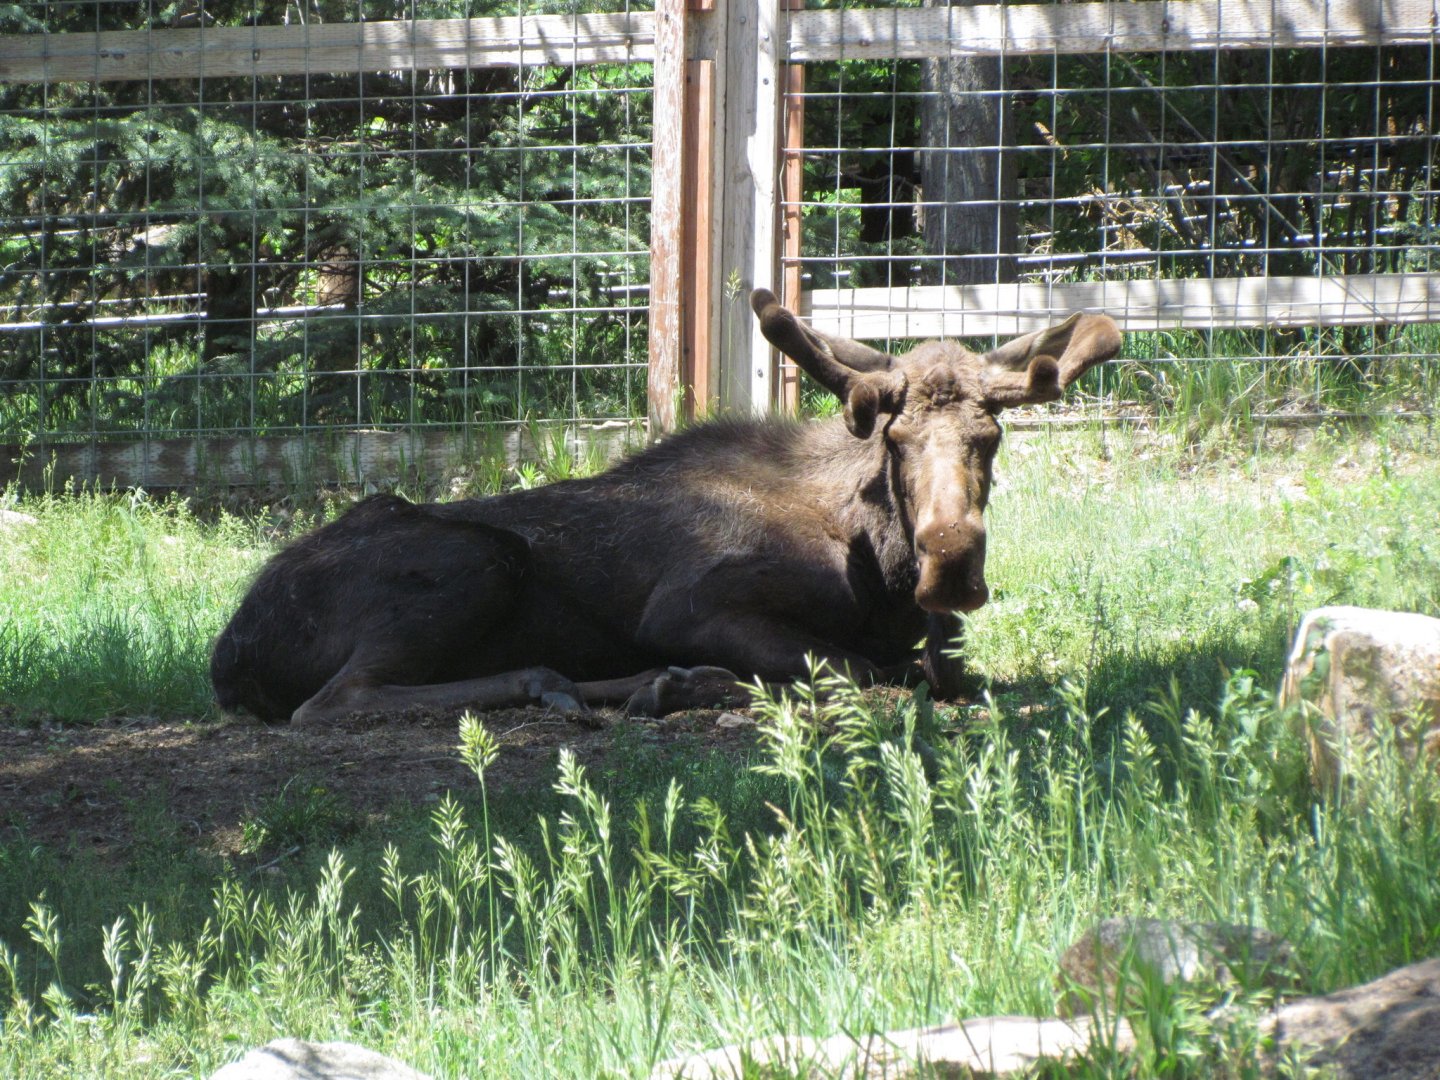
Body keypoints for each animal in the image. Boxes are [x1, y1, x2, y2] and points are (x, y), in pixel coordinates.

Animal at [211, 289, 1122, 724]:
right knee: (334, 701)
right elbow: (860, 669)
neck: (881, 567)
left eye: (989, 438)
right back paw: (589, 684)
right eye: (894, 442)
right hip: (480, 557)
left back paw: (657, 685)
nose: (953, 562)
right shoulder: (688, 604)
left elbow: (940, 668)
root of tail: (231, 652)